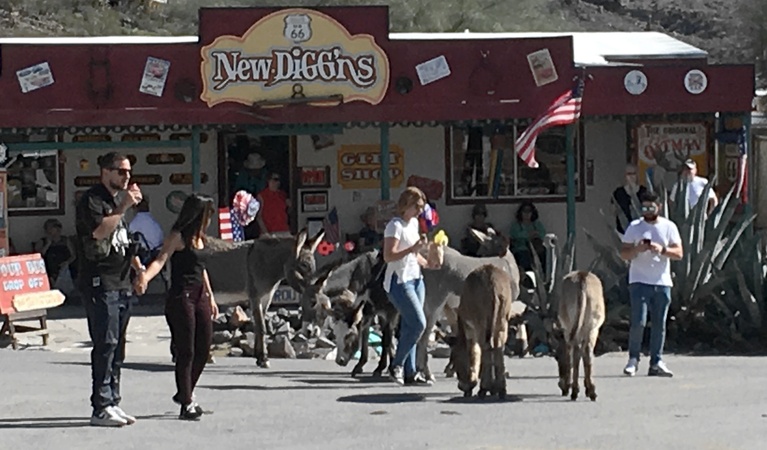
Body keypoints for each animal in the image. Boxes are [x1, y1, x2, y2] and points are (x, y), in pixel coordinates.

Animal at [452, 266, 512, 400]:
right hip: (501, 320)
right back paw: (501, 389)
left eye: (456, 363)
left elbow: (474, 351)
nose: (461, 387)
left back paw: (484, 388)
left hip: (481, 321)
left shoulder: (470, 328)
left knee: (486, 347)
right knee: (498, 348)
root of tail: (492, 281)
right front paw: (494, 389)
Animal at [560, 270, 608, 400]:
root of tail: (581, 276)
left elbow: (569, 356)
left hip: (578, 328)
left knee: (577, 353)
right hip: (592, 328)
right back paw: (590, 392)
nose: (561, 386)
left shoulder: (567, 331)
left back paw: (575, 391)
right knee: (587, 352)